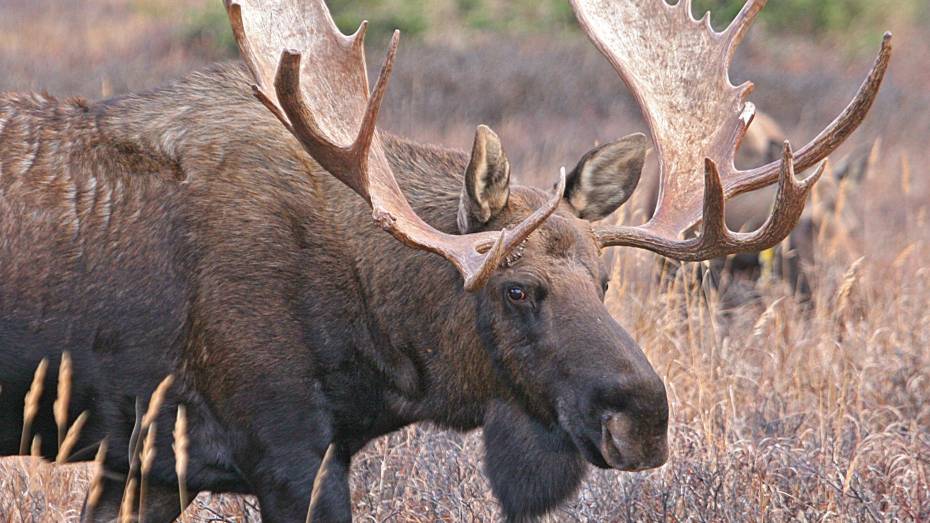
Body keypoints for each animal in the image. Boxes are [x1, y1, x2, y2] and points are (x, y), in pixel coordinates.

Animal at [0, 0, 888, 520]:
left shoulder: (148, 463)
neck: (375, 349)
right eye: (518, 289)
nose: (644, 416)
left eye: (605, 280)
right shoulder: (288, 452)